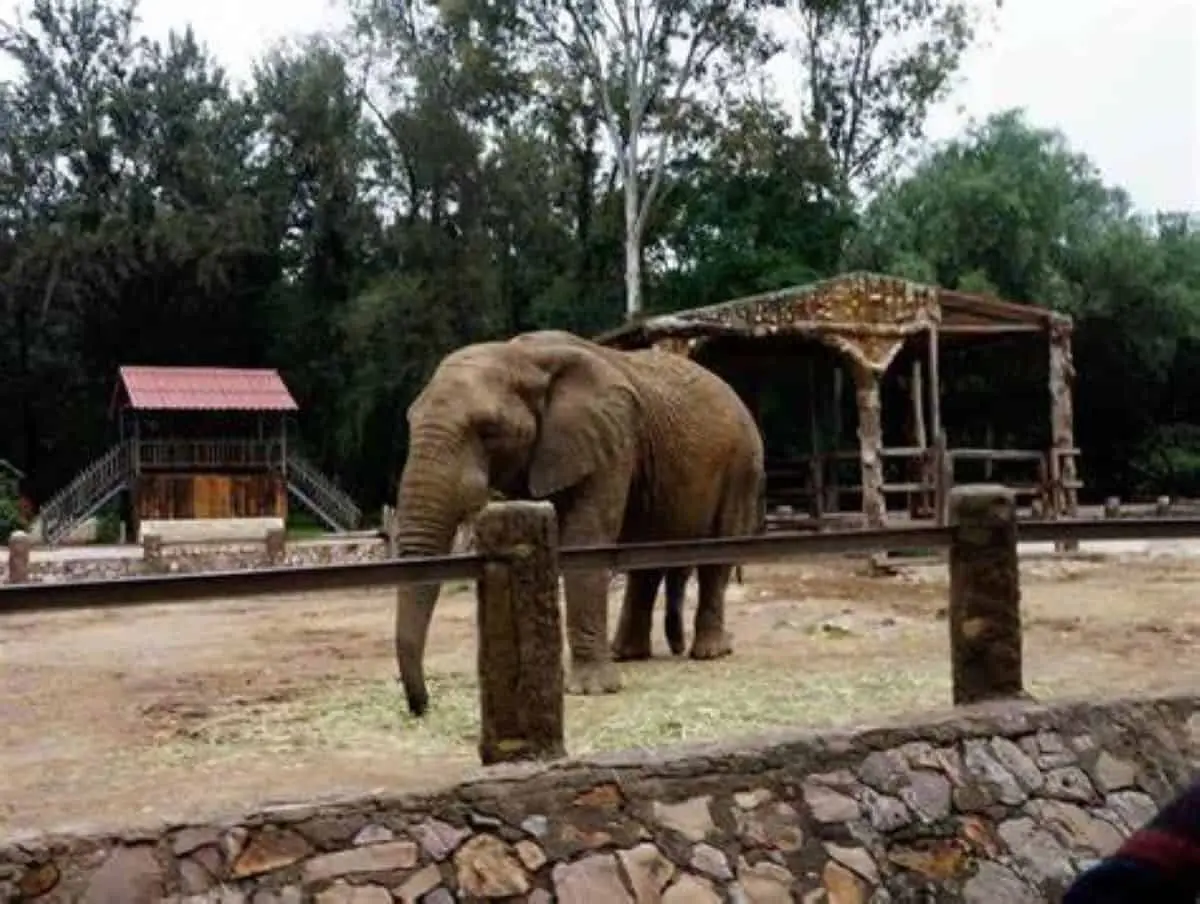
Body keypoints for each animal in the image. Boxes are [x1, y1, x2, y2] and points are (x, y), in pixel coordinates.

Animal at [393, 328, 768, 715]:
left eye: (488, 430)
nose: (421, 706)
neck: (522, 355)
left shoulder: (611, 440)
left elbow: (586, 539)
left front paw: (591, 690)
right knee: (645, 562)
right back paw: (627, 654)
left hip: (743, 464)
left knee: (717, 554)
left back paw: (709, 653)